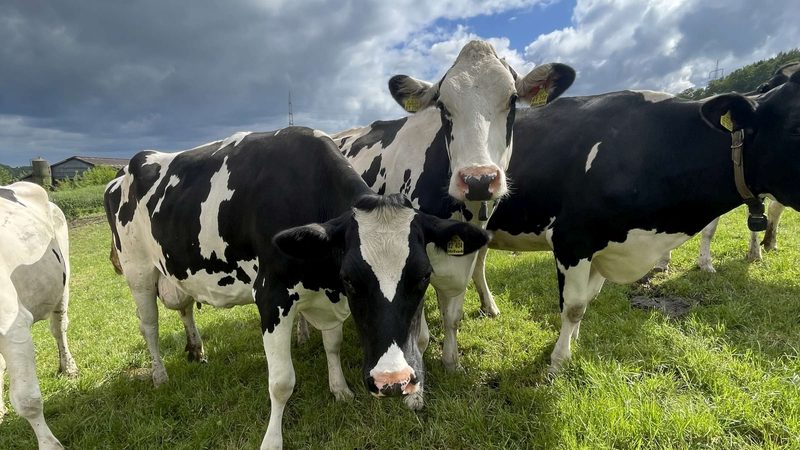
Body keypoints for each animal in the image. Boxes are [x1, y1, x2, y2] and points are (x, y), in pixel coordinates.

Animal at [1, 182, 77, 450]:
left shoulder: (13, 326)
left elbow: (27, 400)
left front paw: (49, 445)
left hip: (62, 284)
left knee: (59, 328)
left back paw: (68, 367)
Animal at [103, 128, 488, 450]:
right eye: (351, 279)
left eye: (423, 276)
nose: (392, 381)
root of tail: (125, 170)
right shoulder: (271, 296)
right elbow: (281, 381)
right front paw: (272, 440)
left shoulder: (327, 300)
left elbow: (332, 344)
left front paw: (339, 389)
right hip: (137, 270)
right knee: (149, 326)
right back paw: (159, 375)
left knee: (184, 309)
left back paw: (197, 351)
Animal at [333, 40, 575, 373]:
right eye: (443, 106)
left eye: (512, 99)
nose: (478, 179)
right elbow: (418, 332)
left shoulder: (466, 251)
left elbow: (454, 314)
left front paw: (451, 361)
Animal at [466, 70, 800, 373]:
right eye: (794, 128)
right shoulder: (572, 240)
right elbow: (573, 306)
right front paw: (558, 361)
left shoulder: (603, 248)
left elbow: (588, 299)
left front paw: (573, 341)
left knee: (478, 265)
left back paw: (489, 306)